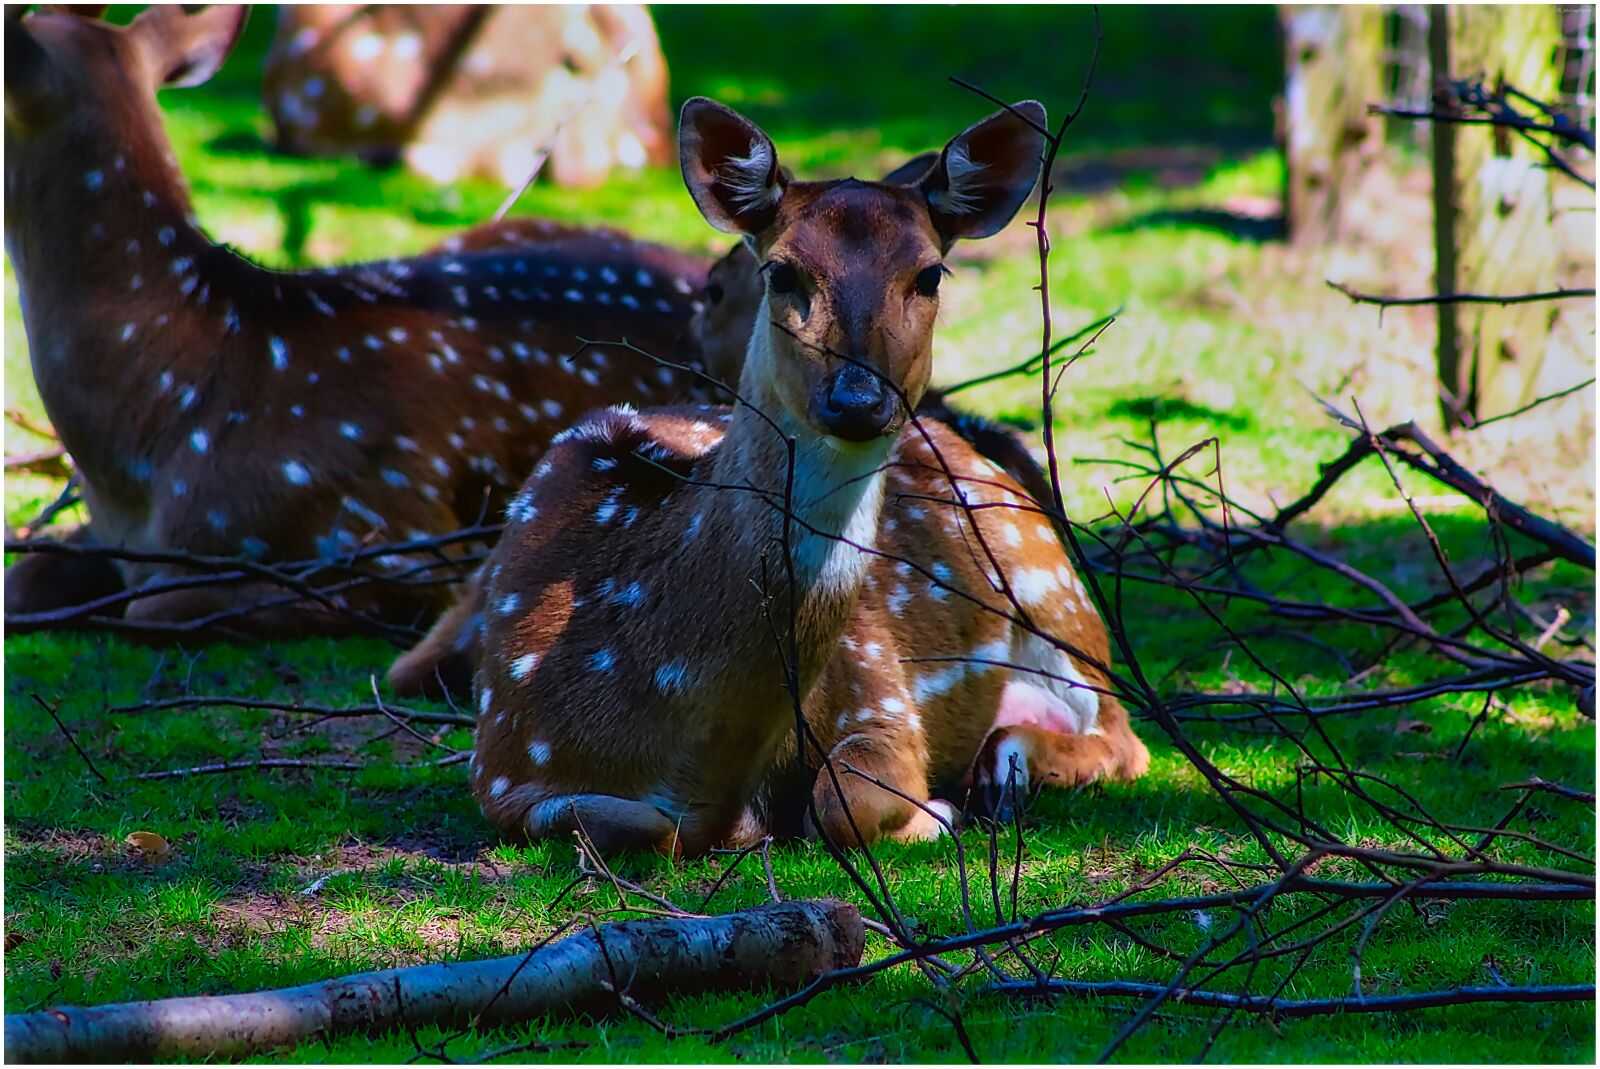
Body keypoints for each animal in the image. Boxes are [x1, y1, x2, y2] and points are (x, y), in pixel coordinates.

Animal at [401, 96, 1149, 857]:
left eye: (931, 274)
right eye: (781, 272)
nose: (858, 399)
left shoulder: (880, 691)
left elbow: (841, 802)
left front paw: (936, 809)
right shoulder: (501, 763)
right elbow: (618, 820)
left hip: (1053, 585)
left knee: (1124, 735)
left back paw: (1001, 770)